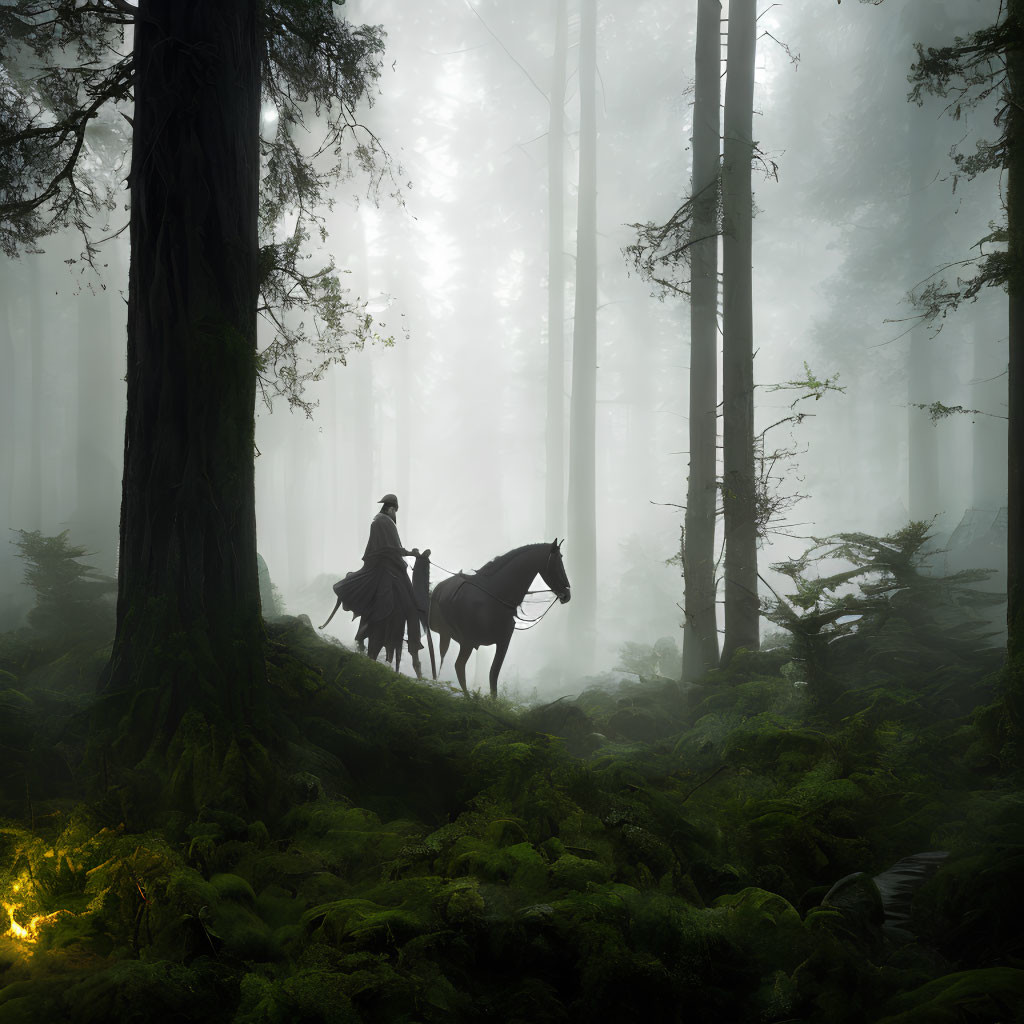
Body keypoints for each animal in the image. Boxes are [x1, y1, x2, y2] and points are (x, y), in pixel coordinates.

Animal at [423, 540, 569, 700]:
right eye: (558, 561)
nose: (567, 594)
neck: (493, 595)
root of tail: (438, 589)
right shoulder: (474, 641)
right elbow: (487, 672)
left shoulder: (502, 641)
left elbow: (494, 673)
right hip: (458, 640)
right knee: (457, 665)